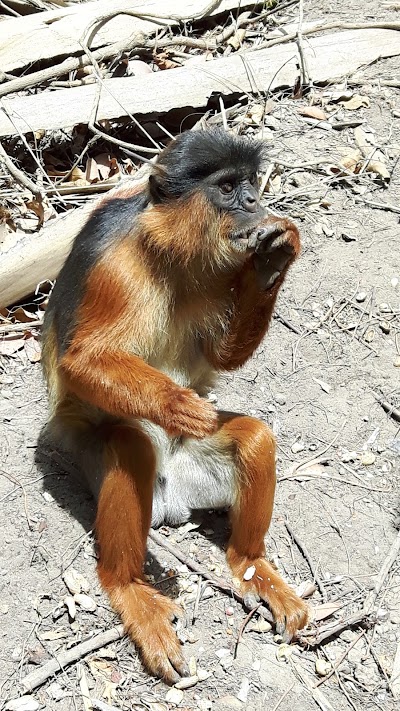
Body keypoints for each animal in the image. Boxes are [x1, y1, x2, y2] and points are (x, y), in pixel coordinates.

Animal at [41, 128, 308, 683]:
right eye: (227, 189)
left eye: (250, 185)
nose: (253, 203)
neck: (168, 254)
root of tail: (172, 501)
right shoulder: (114, 267)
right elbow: (80, 361)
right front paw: (176, 403)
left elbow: (220, 358)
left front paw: (273, 260)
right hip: (86, 453)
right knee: (130, 446)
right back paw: (131, 591)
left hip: (194, 464)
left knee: (254, 439)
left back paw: (252, 567)